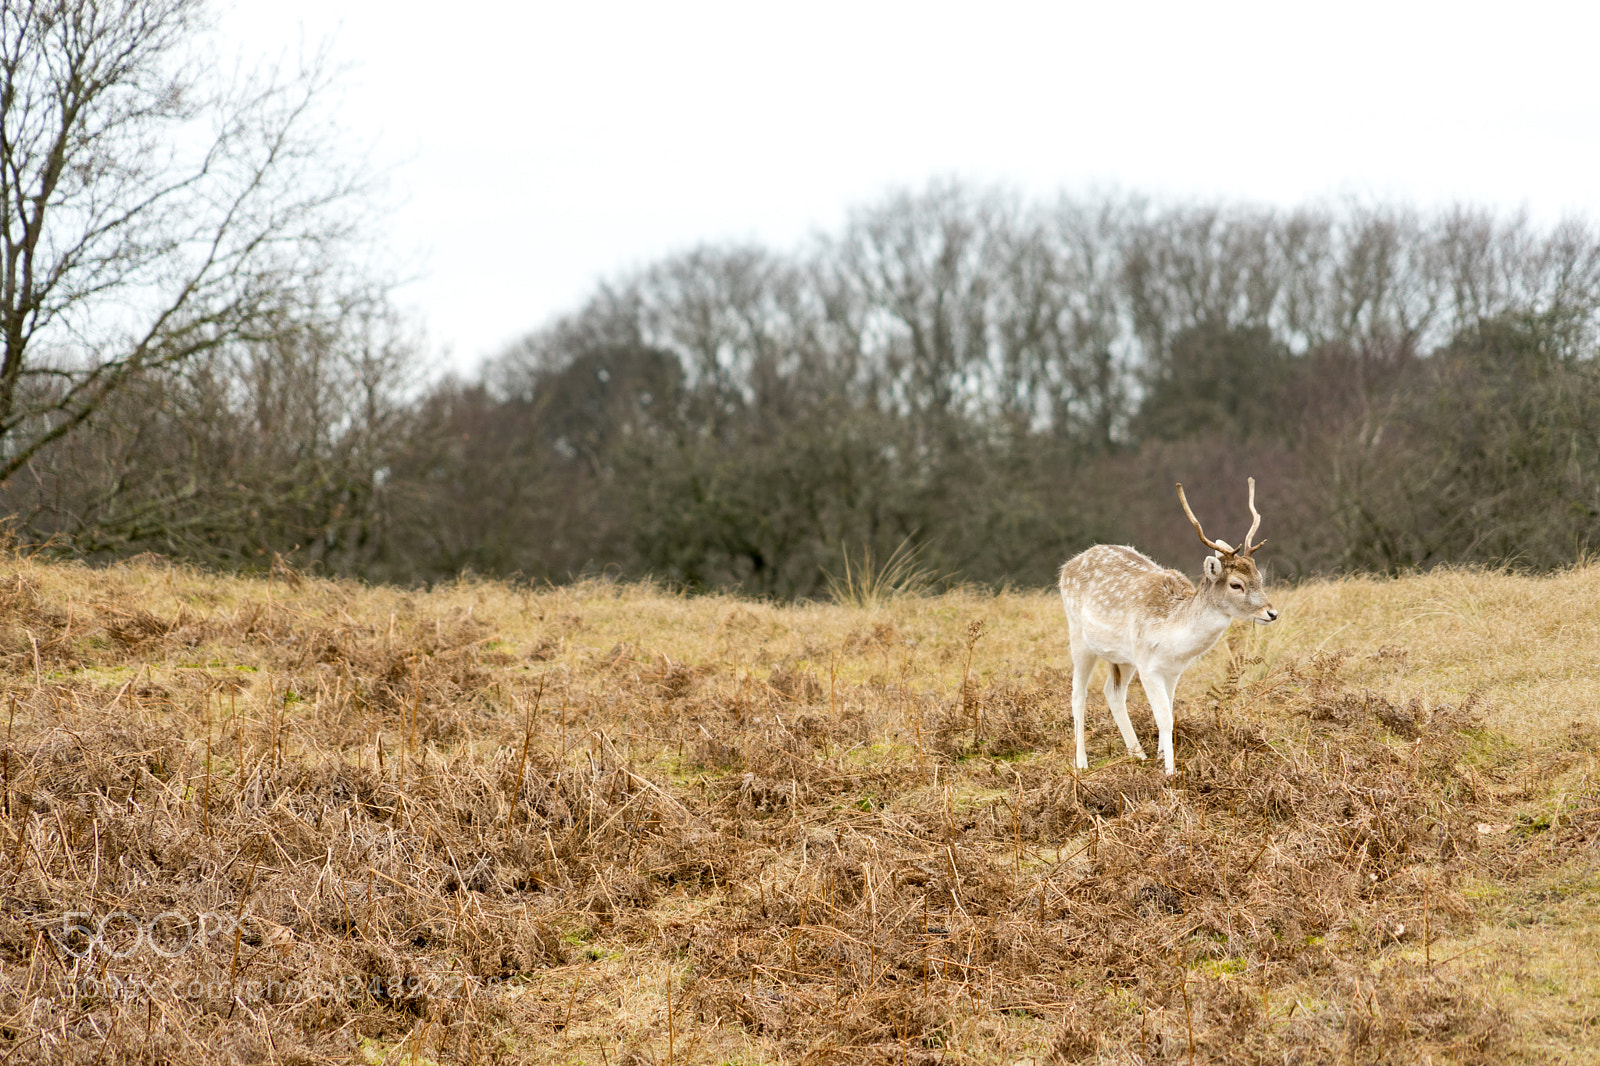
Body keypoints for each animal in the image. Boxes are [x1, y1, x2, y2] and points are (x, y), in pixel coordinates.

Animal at [1057, 478, 1278, 776]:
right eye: (1236, 584)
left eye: (1260, 577)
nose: (1272, 613)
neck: (1173, 639)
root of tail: (1068, 565)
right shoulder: (1148, 665)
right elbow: (1164, 718)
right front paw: (1169, 772)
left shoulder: (1172, 670)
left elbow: (1170, 713)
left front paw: (1160, 758)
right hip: (1079, 637)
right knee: (1078, 694)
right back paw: (1081, 762)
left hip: (1123, 657)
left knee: (1112, 692)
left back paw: (1138, 754)